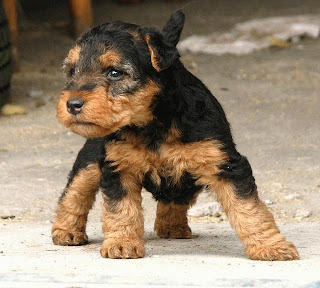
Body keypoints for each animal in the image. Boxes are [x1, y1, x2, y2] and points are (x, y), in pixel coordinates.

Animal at [51, 10, 298, 260]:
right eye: (71, 71)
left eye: (114, 72)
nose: (72, 104)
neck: (153, 125)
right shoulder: (118, 166)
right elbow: (121, 209)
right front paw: (122, 243)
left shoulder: (225, 164)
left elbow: (249, 208)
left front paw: (271, 246)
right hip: (91, 161)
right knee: (74, 193)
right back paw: (66, 231)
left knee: (175, 199)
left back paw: (172, 226)